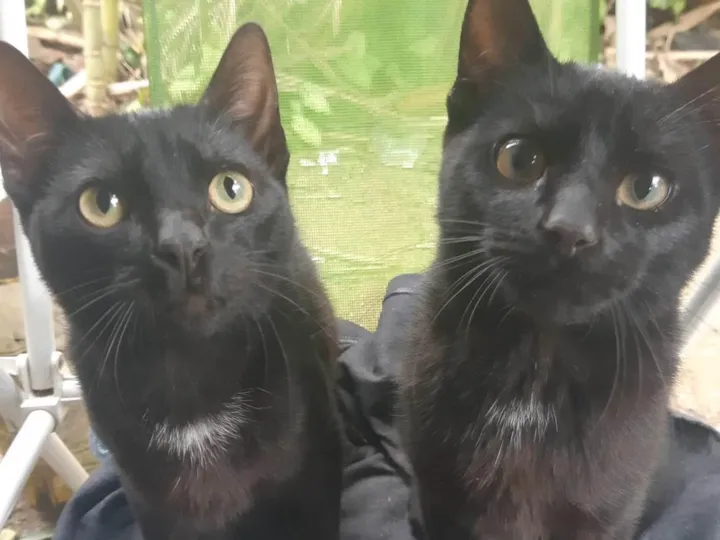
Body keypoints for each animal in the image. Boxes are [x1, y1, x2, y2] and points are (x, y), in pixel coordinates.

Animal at [0, 23, 342, 540]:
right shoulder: (152, 505)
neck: (190, 386)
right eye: (101, 204)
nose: (183, 246)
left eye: (231, 188)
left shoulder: (311, 482)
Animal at [398, 0, 720, 539]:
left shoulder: (609, 514)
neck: (536, 373)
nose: (570, 228)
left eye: (647, 188)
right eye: (519, 159)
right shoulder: (434, 496)